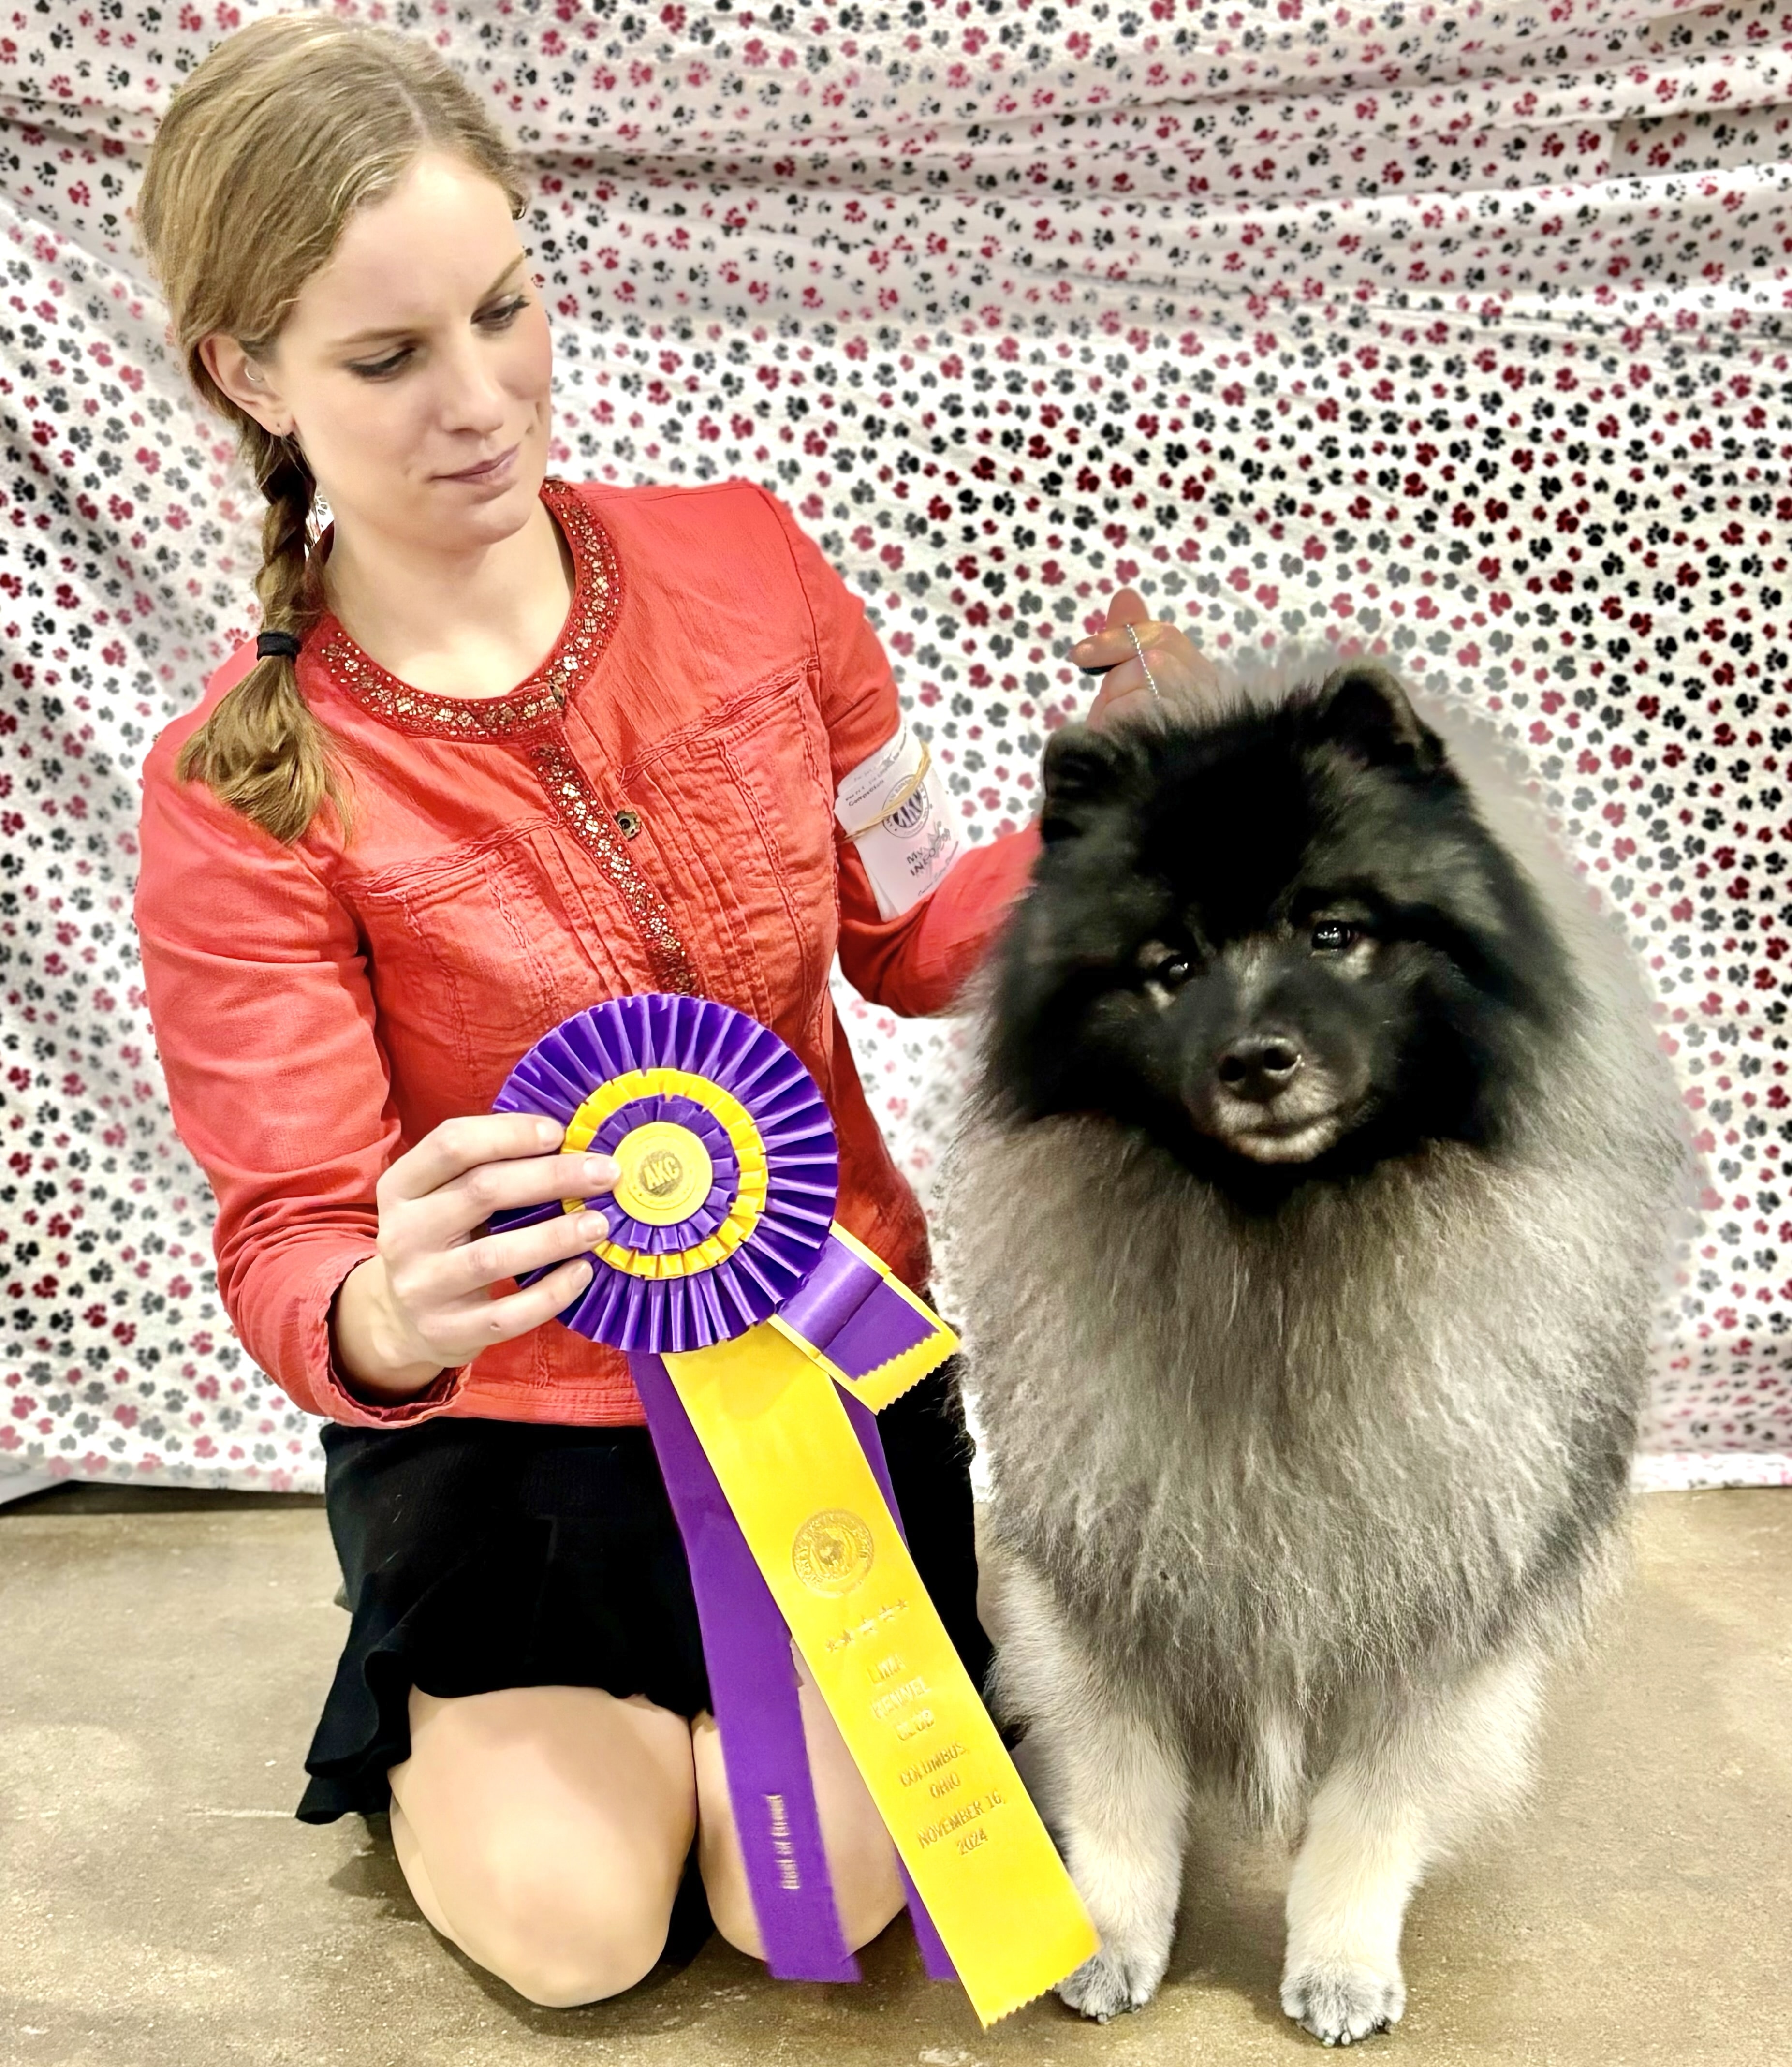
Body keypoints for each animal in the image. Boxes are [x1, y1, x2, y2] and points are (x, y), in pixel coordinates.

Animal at [955, 653, 1695, 2042]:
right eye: (1171, 964)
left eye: (1332, 933)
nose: (1257, 1059)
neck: (1279, 1240)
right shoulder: (1098, 1571)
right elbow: (1120, 1788)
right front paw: (1110, 1936)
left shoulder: (1428, 1600)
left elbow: (1369, 1810)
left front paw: (1341, 1959)